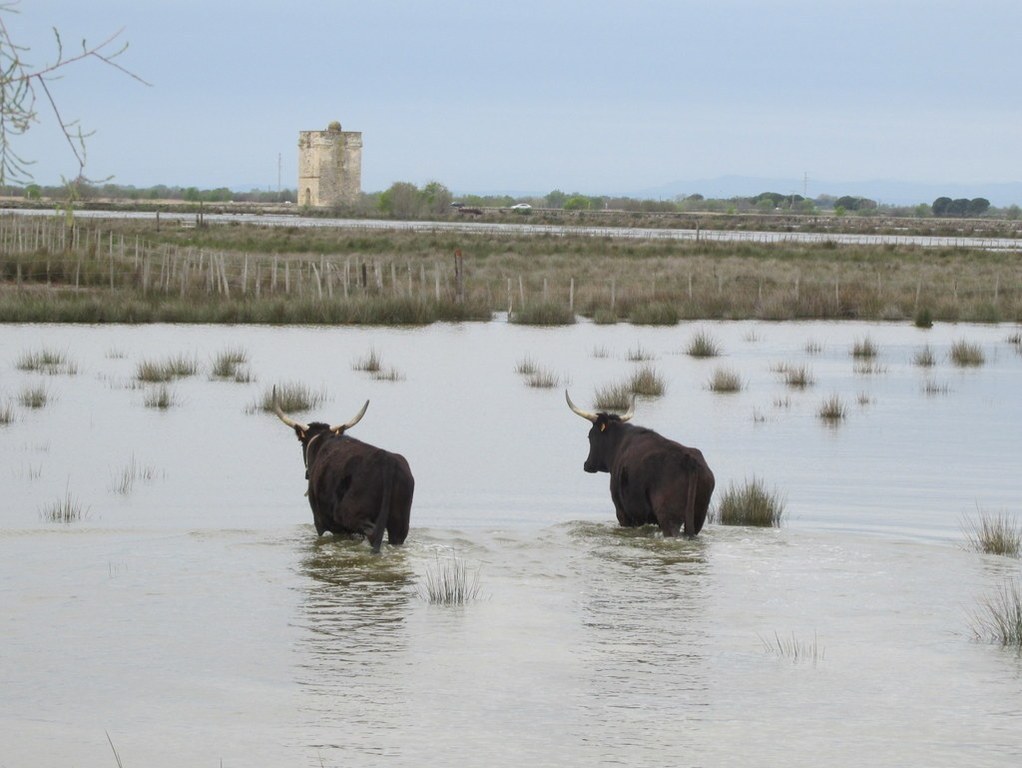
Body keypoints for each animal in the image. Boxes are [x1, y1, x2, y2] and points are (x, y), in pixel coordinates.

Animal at [564, 392, 715, 535]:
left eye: (590, 436)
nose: (586, 464)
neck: (618, 444)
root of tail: (689, 459)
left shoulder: (623, 513)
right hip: (698, 516)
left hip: (669, 518)